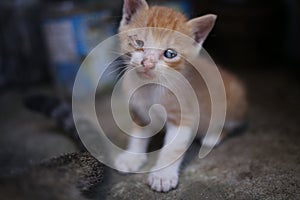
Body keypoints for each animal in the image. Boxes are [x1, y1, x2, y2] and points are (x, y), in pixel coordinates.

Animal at [113, 0, 247, 194]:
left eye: (170, 54)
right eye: (138, 42)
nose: (148, 63)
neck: (152, 88)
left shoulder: (185, 115)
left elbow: (173, 148)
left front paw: (163, 176)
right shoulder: (138, 109)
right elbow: (137, 136)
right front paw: (132, 157)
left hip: (233, 103)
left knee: (231, 124)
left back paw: (212, 136)